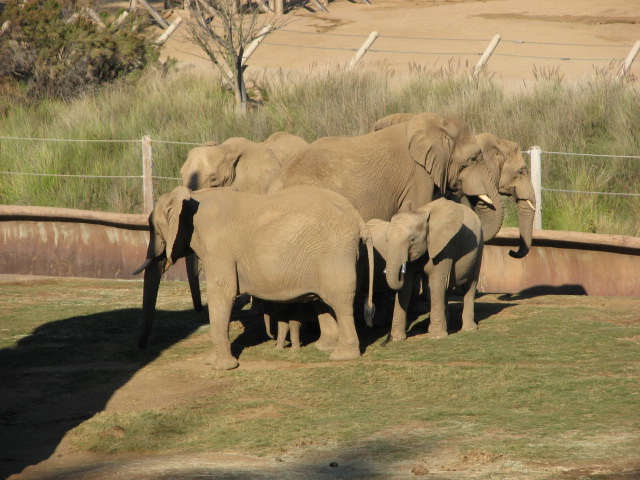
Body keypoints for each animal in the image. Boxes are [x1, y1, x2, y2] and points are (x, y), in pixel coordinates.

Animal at [133, 185, 375, 370]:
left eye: (153, 228)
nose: (142, 348)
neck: (193, 195)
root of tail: (359, 220)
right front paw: (211, 361)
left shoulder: (218, 246)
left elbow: (222, 292)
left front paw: (222, 367)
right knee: (325, 302)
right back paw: (326, 348)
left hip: (336, 253)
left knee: (340, 301)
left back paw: (342, 356)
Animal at [367, 198, 484, 341]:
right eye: (387, 240)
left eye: (412, 240)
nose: (400, 271)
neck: (421, 214)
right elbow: (406, 288)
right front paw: (397, 339)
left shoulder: (445, 247)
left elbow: (436, 282)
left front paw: (437, 337)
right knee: (446, 289)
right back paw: (439, 326)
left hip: (479, 247)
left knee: (470, 285)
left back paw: (468, 329)